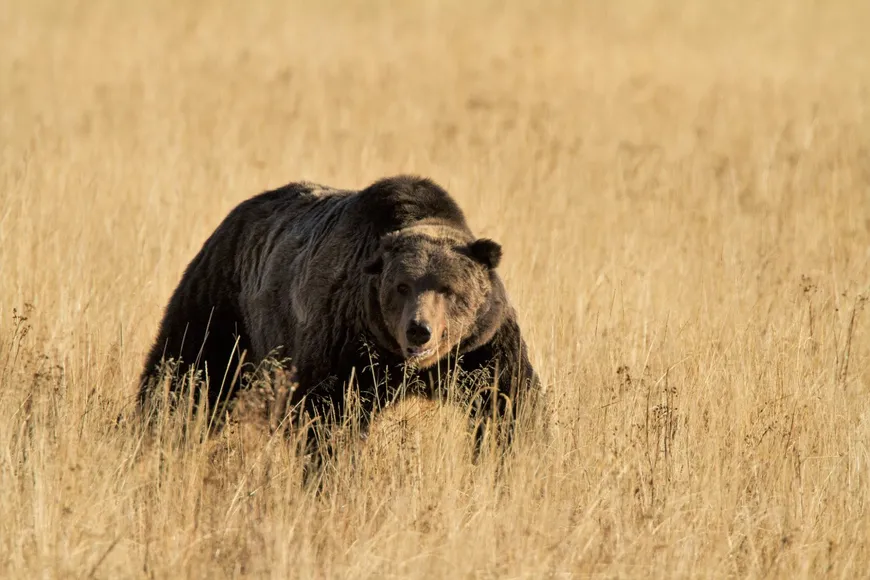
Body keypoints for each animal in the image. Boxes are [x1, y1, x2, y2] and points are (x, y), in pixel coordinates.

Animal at [138, 174, 543, 453]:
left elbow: (509, 404)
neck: (414, 368)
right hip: (227, 307)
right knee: (187, 371)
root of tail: (235, 215)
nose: (419, 330)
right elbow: (327, 417)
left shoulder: (481, 348)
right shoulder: (349, 345)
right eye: (402, 286)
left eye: (448, 289)